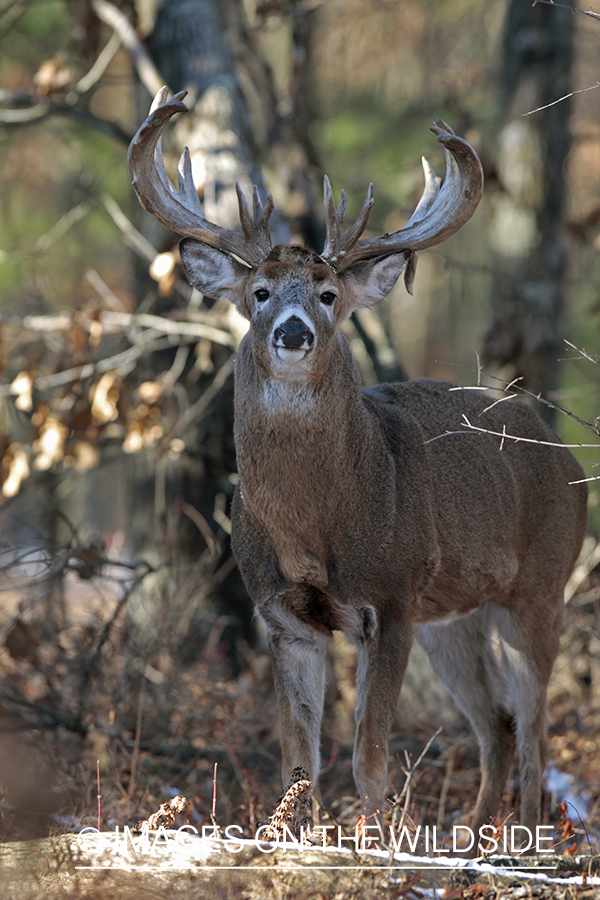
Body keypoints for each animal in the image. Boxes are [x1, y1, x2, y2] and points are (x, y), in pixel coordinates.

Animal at [127, 88, 584, 840]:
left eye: (328, 295)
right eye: (259, 293)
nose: (293, 332)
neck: (315, 529)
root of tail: (564, 454)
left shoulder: (391, 600)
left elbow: (369, 756)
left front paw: (377, 843)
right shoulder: (281, 614)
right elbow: (300, 756)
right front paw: (290, 839)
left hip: (540, 587)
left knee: (536, 729)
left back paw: (523, 843)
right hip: (453, 617)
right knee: (497, 724)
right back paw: (472, 838)